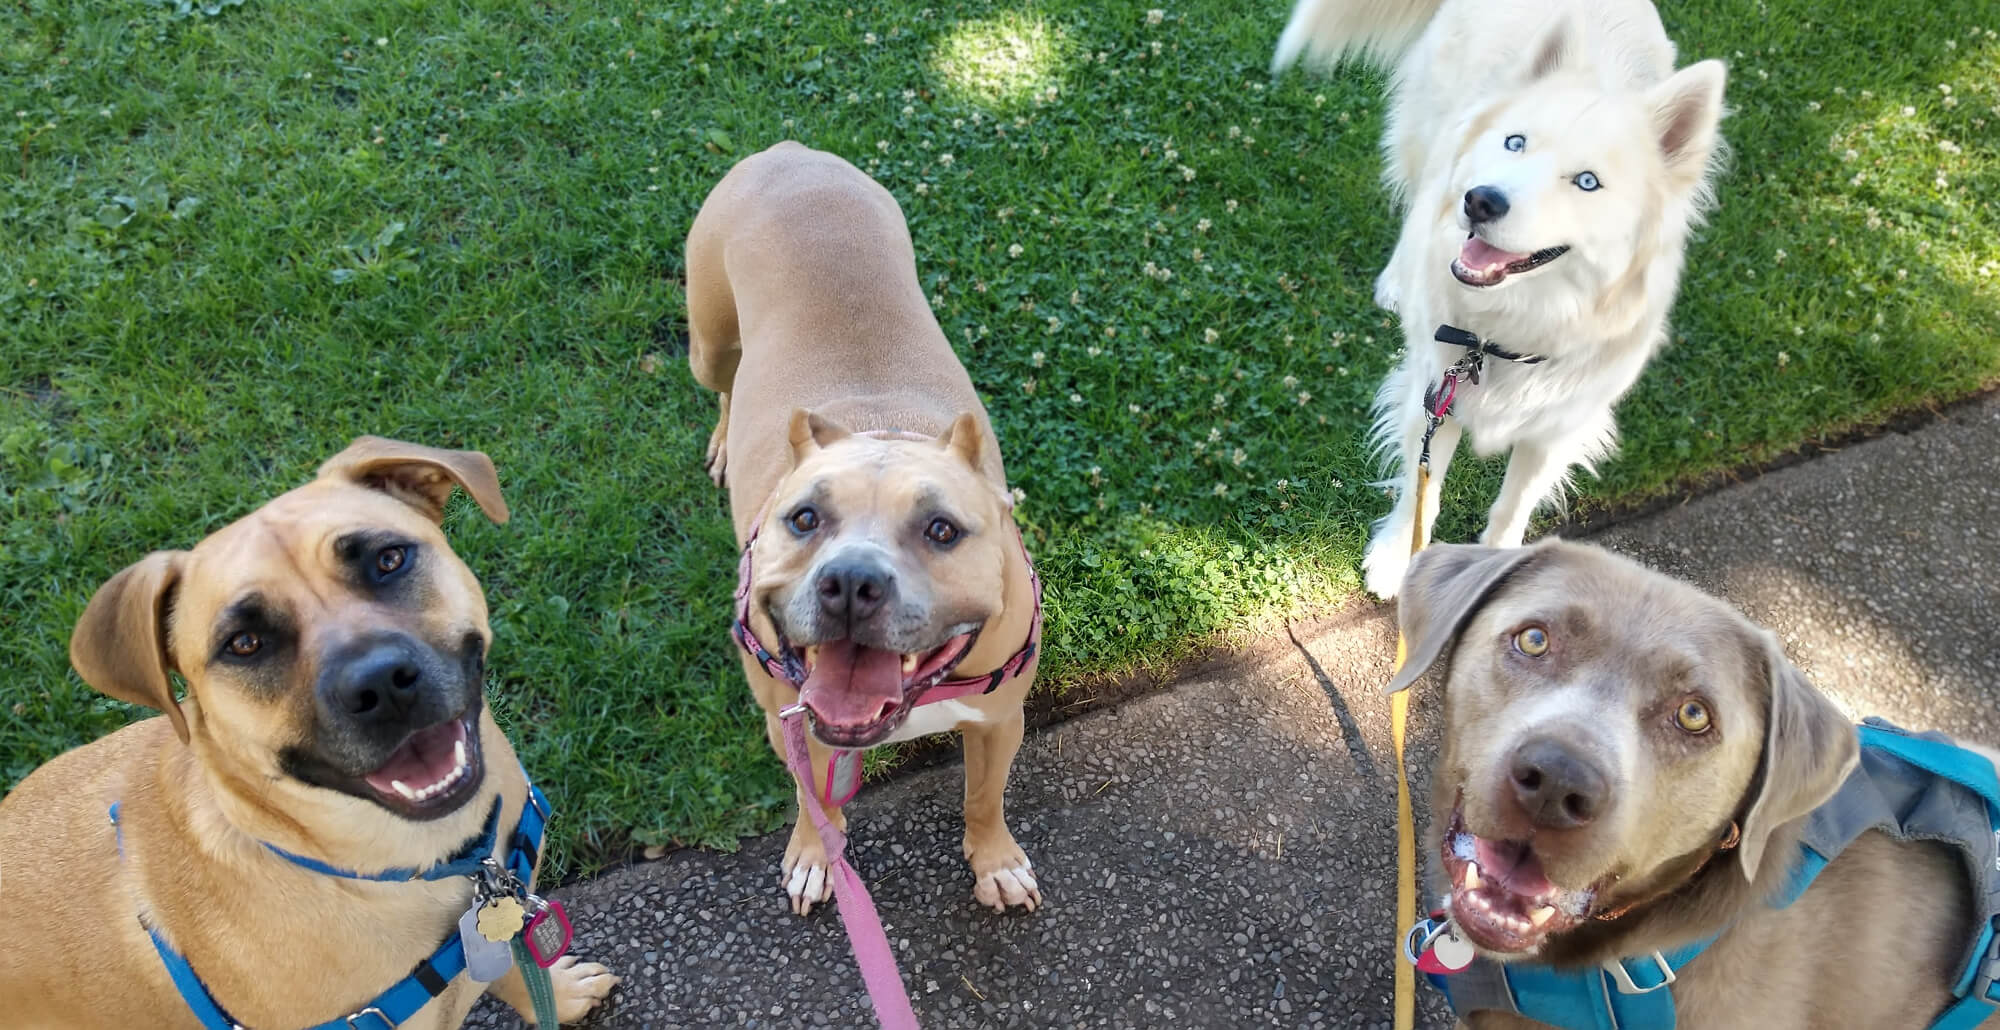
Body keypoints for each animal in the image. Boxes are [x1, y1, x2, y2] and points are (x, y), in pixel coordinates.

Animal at [1280, 0, 1720, 596]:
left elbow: (1513, 507)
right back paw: (1397, 277)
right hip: (1431, 132)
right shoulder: (1433, 394)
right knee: (1417, 197)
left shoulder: (1557, 430)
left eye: (1587, 182)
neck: (1506, 330)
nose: (1481, 201)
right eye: (1516, 143)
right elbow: (1420, 488)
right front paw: (1397, 557)